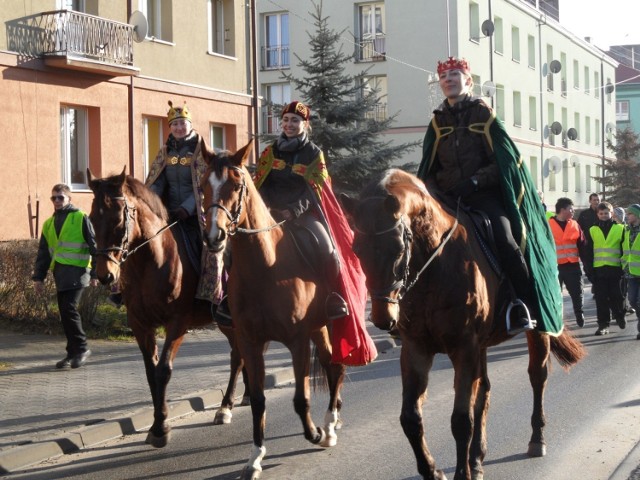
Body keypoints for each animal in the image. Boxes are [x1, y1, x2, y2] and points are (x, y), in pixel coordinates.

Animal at [89, 167, 249, 448]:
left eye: (118, 220)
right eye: (91, 220)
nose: (105, 275)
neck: (150, 263)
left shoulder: (177, 323)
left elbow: (164, 370)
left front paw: (161, 428)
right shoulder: (140, 324)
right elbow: (151, 372)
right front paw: (155, 424)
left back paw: (229, 405)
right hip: (225, 322)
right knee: (238, 355)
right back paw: (237, 400)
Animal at [202, 142, 348, 480]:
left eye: (236, 185)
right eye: (203, 185)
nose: (214, 236)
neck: (265, 267)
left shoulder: (297, 340)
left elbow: (300, 398)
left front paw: (315, 433)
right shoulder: (250, 342)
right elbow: (257, 400)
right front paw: (255, 458)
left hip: (330, 324)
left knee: (337, 367)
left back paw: (330, 425)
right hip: (318, 328)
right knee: (330, 364)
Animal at [342, 170, 588, 480]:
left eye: (398, 249)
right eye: (356, 249)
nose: (383, 318)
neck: (434, 268)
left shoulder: (463, 347)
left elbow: (461, 419)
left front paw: (461, 472)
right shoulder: (416, 349)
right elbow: (411, 418)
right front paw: (433, 470)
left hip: (536, 330)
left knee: (537, 377)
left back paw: (536, 439)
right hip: (481, 346)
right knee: (484, 390)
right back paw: (477, 457)